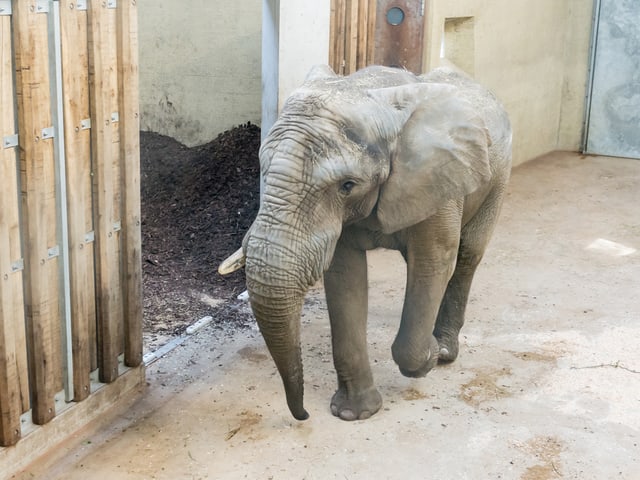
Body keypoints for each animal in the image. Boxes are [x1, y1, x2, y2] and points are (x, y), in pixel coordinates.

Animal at [219, 64, 510, 420]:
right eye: (263, 168)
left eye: (347, 185)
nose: (303, 414)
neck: (371, 94)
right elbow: (346, 277)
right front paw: (353, 414)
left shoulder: (439, 181)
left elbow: (434, 260)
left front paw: (429, 356)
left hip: (497, 176)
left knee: (467, 254)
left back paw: (444, 350)